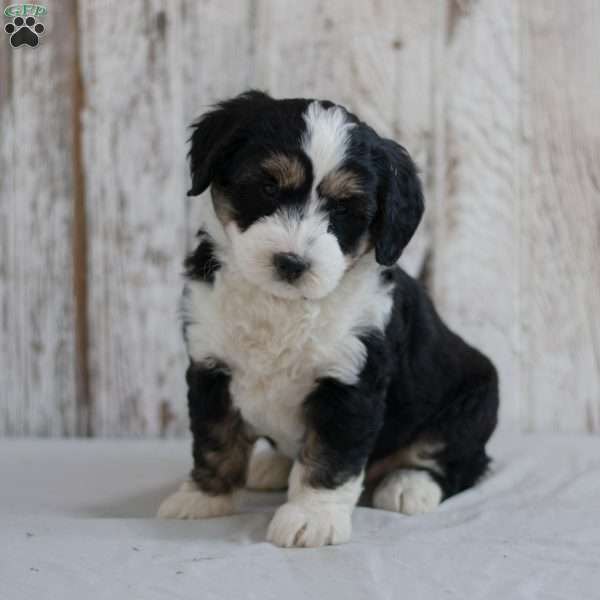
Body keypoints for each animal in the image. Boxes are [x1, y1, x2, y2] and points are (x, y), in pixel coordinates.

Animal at [157, 90, 500, 548]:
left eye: (342, 209)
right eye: (268, 187)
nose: (291, 263)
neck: (283, 305)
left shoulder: (350, 381)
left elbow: (329, 455)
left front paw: (311, 517)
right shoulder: (211, 365)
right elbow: (216, 438)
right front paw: (202, 498)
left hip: (473, 400)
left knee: (460, 460)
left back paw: (408, 485)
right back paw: (272, 466)